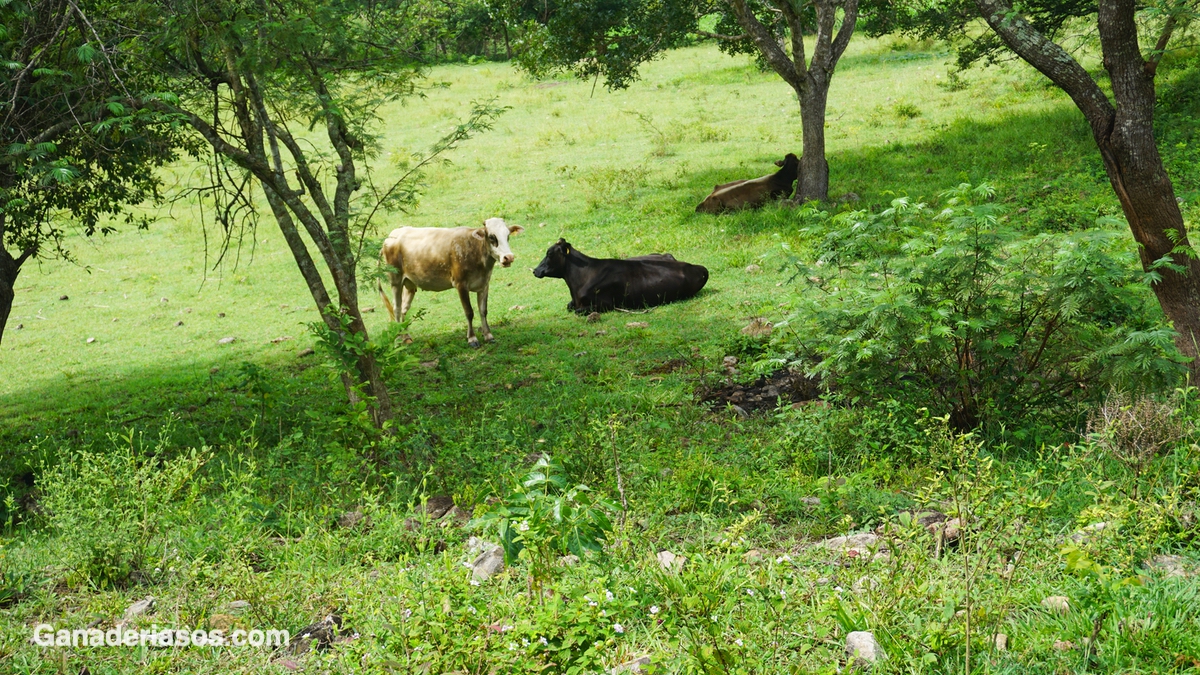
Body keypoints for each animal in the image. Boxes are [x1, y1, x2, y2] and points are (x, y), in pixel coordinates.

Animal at [376, 218, 523, 345]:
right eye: (492, 237)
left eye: (507, 236)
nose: (508, 257)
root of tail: (391, 235)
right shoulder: (461, 284)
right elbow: (469, 312)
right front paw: (472, 339)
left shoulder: (484, 284)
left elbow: (483, 310)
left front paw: (488, 335)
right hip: (395, 280)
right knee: (396, 308)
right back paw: (397, 339)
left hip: (410, 284)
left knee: (404, 308)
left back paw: (406, 337)